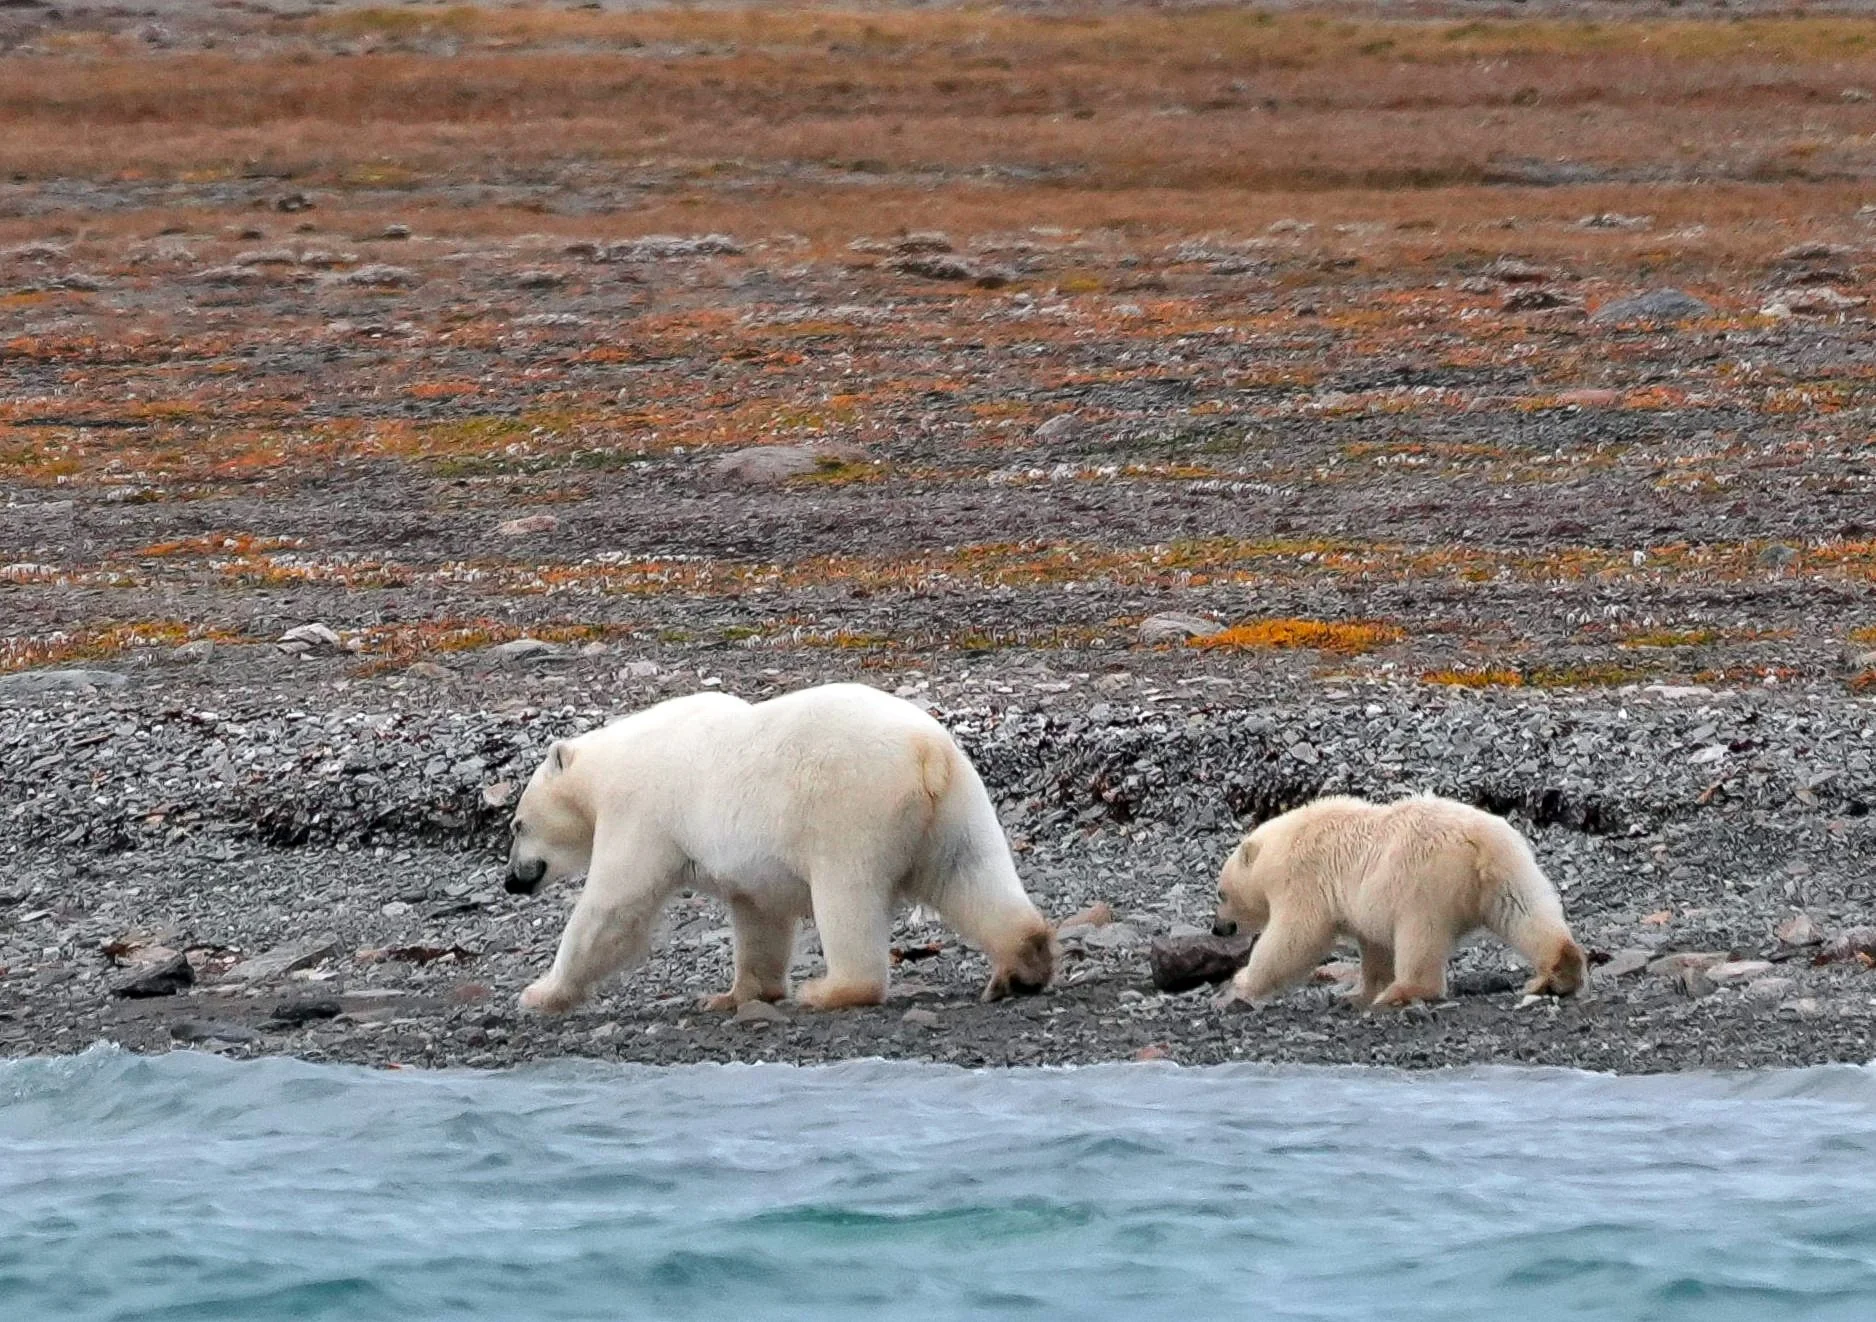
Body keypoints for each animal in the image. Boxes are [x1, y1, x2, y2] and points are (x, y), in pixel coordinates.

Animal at [501, 682, 1055, 1014]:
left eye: (516, 825)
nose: (511, 881)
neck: (611, 763)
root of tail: (927, 755)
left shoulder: (642, 812)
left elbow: (613, 909)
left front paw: (540, 991)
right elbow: (759, 915)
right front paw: (735, 994)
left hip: (851, 809)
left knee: (847, 898)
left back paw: (829, 990)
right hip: (958, 808)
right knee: (972, 875)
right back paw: (1020, 968)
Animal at [1210, 793, 1585, 1010]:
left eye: (1221, 892)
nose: (1218, 928)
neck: (1282, 843)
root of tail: (1477, 843)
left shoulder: (1303, 878)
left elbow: (1294, 936)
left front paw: (1241, 982)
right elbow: (1374, 945)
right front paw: (1355, 994)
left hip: (1423, 883)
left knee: (1420, 935)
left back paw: (1402, 992)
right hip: (1510, 868)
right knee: (1525, 913)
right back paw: (1557, 974)